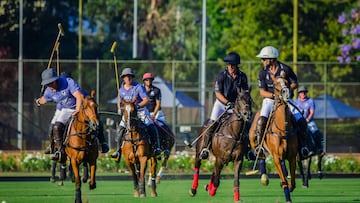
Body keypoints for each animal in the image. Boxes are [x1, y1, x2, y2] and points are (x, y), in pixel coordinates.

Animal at [250, 74, 298, 203]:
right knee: (260, 154)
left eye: (287, 82)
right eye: (275, 84)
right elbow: (285, 181)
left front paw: (288, 186)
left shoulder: (292, 157)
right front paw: (288, 198)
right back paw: (264, 177)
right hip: (253, 140)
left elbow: (292, 182)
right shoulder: (276, 157)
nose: (286, 93)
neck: (283, 129)